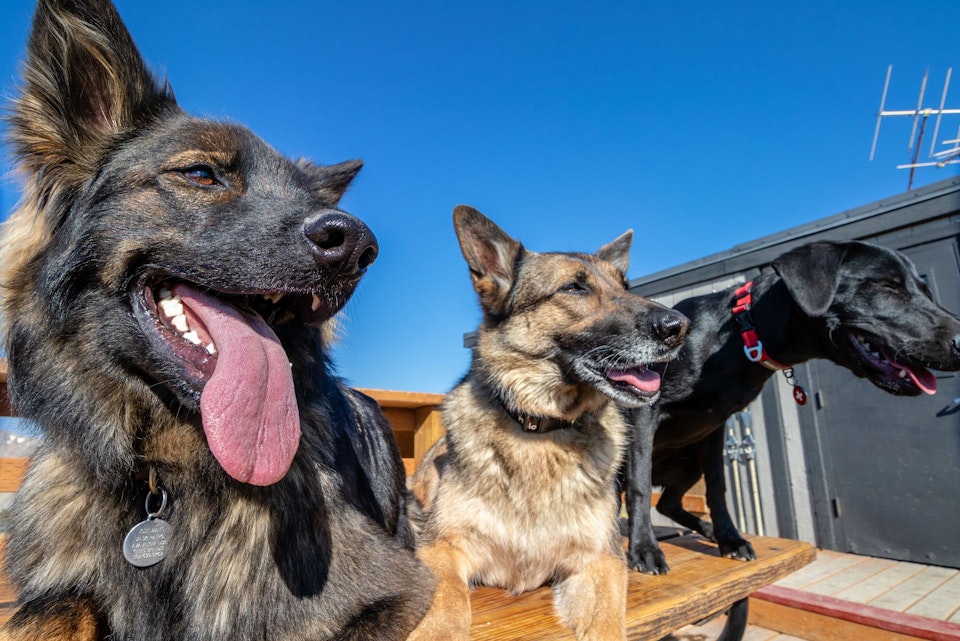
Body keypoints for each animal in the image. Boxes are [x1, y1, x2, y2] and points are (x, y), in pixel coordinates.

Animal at [0, 1, 434, 640]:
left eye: (308, 199)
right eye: (202, 174)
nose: (357, 245)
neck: (165, 483)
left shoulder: (396, 588)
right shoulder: (60, 587)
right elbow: (47, 612)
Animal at [404, 208, 688, 636]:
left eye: (626, 286)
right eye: (574, 288)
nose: (679, 327)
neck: (540, 429)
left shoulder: (599, 560)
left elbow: (607, 625)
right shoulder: (443, 549)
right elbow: (448, 604)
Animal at [624, 242, 960, 572]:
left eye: (926, 291)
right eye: (885, 285)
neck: (742, 336)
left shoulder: (714, 427)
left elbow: (718, 487)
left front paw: (729, 539)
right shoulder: (644, 411)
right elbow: (639, 484)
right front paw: (644, 549)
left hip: (690, 462)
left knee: (667, 502)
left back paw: (705, 529)